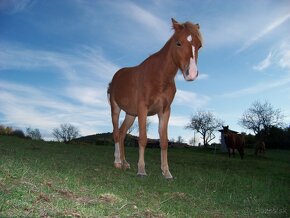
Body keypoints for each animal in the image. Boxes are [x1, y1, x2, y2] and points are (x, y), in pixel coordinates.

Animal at [107, 18, 203, 179]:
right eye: (178, 43)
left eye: (199, 45)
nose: (191, 73)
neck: (159, 76)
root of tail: (116, 77)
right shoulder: (143, 109)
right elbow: (143, 139)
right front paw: (141, 170)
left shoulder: (165, 111)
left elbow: (164, 141)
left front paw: (166, 172)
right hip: (116, 108)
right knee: (115, 133)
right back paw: (117, 162)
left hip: (131, 114)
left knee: (121, 134)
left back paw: (125, 162)